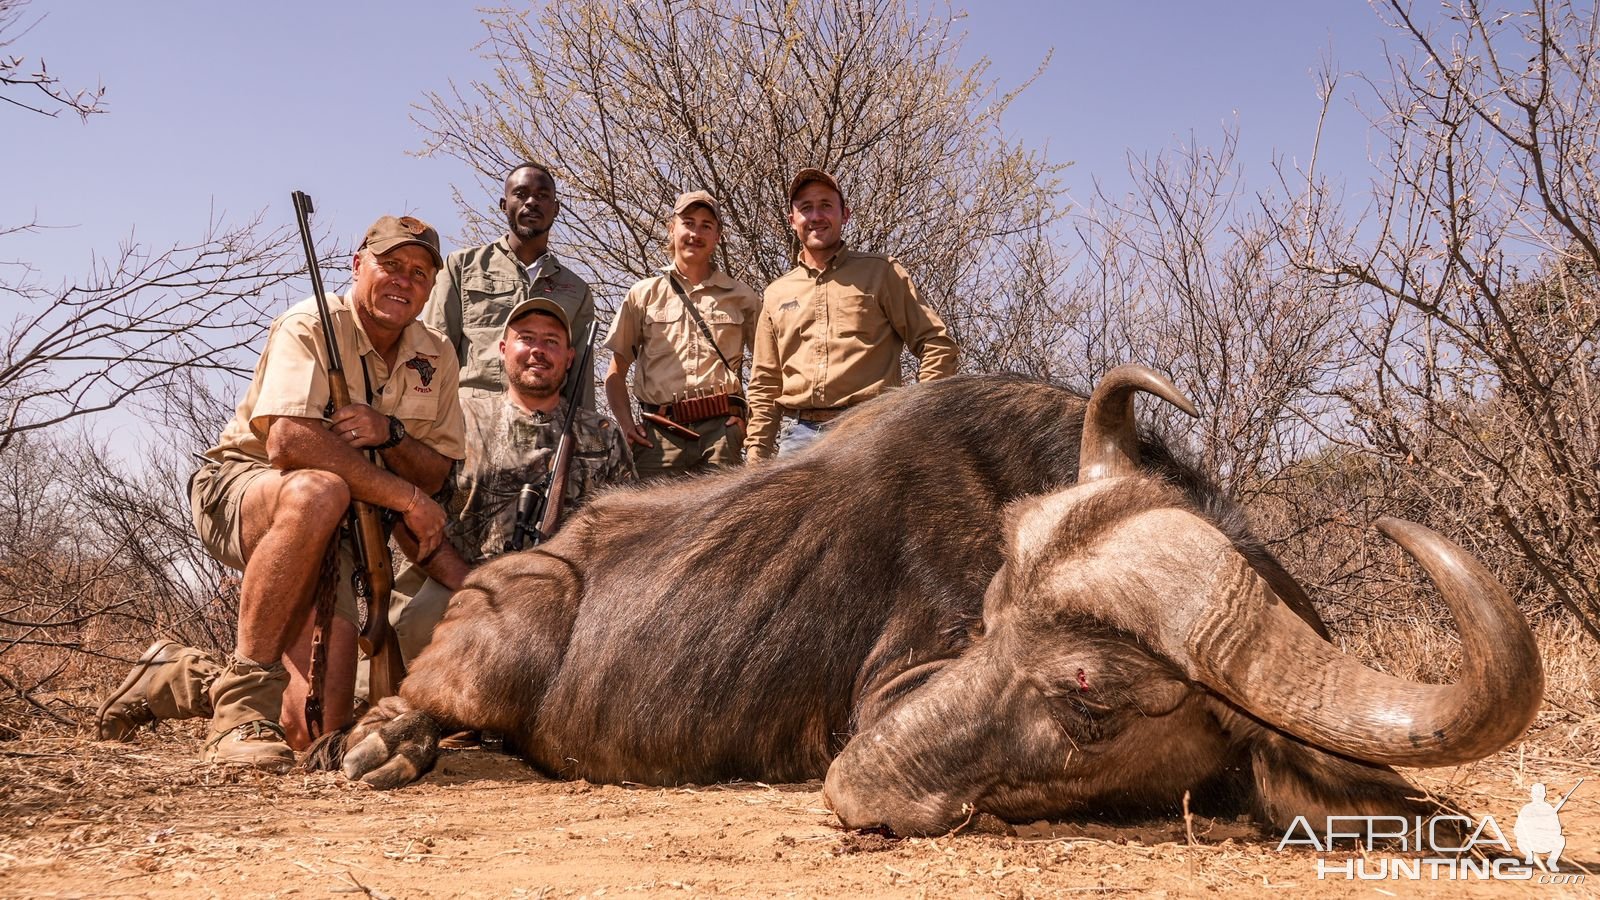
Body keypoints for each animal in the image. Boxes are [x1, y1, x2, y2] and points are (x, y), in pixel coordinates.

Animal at [305, 361, 1542, 832]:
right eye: (986, 627)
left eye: (1089, 689)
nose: (854, 785)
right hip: (486, 652)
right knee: (422, 706)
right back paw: (375, 744)